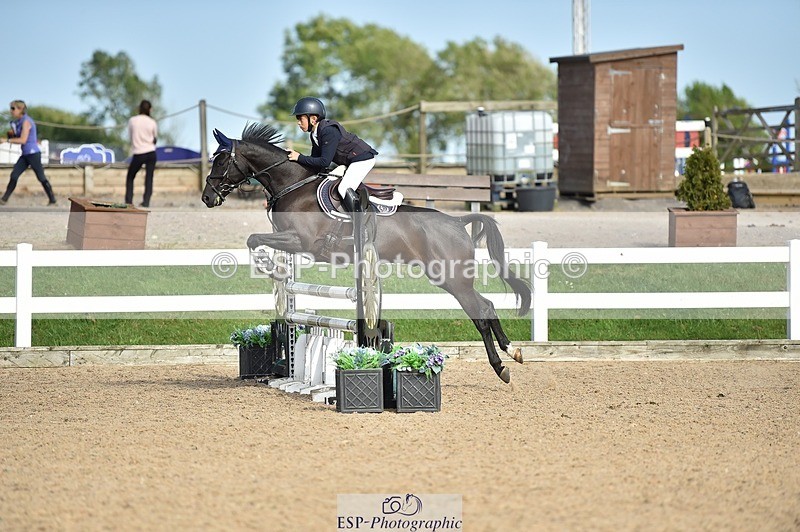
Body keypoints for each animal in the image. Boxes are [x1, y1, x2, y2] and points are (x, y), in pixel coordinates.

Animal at [202, 123, 530, 383]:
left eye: (221, 162)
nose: (207, 198)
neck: (293, 186)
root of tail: (457, 222)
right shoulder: (291, 240)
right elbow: (257, 241)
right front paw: (277, 270)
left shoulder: (300, 241)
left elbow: (253, 239)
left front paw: (270, 267)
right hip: (448, 278)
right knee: (487, 305)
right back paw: (512, 352)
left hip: (453, 279)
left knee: (481, 312)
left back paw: (502, 366)